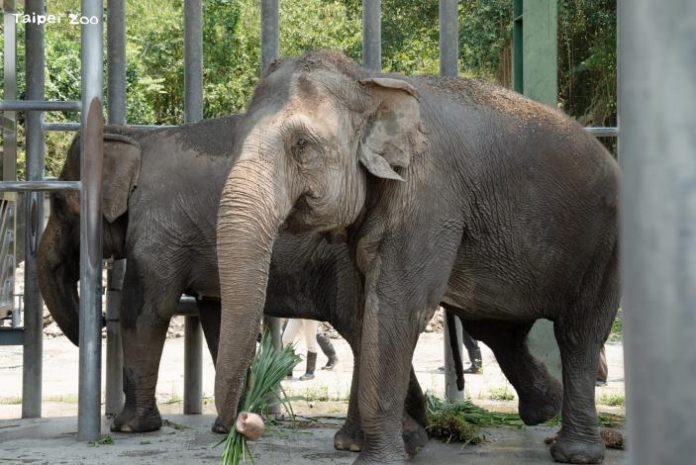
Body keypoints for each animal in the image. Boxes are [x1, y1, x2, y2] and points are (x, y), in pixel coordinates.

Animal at [213, 50, 619, 465]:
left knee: (579, 332)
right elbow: (363, 310)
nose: (244, 423)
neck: (368, 81)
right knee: (495, 327)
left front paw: (379, 459)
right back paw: (545, 407)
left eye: (302, 146)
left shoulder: (427, 198)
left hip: (606, 242)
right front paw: (402, 444)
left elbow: (397, 308)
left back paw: (576, 452)